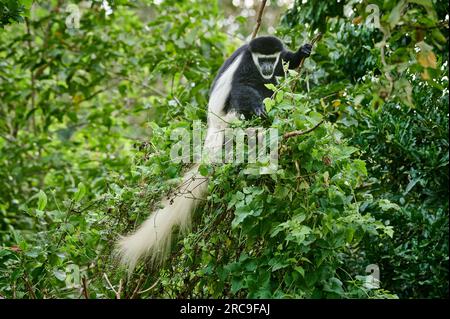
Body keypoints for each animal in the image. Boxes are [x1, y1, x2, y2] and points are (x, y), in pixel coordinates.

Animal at [118, 37, 312, 272]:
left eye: (270, 59)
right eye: (261, 60)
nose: (266, 68)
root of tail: (215, 126)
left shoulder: (278, 57)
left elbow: (287, 62)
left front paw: (302, 52)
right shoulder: (247, 64)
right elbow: (242, 86)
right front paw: (259, 107)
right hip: (230, 115)